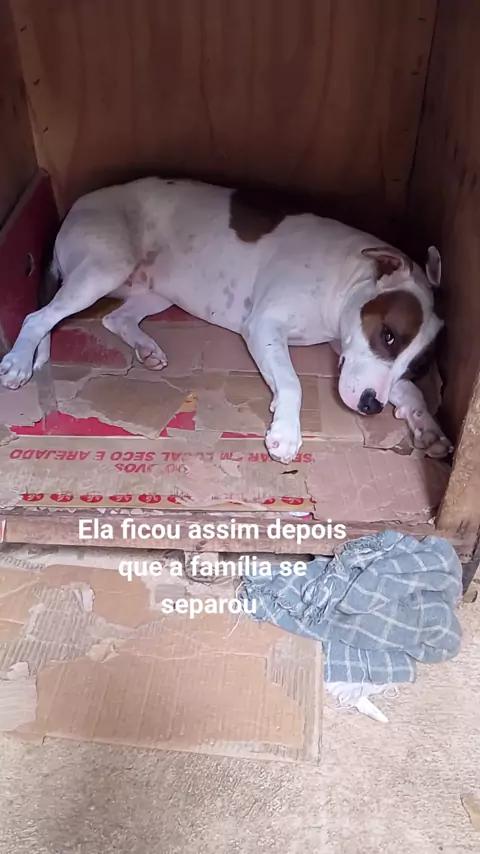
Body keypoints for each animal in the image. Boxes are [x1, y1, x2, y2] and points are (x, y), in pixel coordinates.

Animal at [0, 177, 452, 464]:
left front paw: (427, 426)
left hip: (155, 290)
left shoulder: (350, 355)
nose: (372, 407)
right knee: (38, 317)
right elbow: (292, 381)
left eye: (416, 365)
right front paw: (286, 432)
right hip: (105, 267)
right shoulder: (265, 327)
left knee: (115, 319)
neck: (345, 279)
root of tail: (75, 207)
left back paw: (147, 349)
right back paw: (19, 362)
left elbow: (409, 391)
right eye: (388, 335)